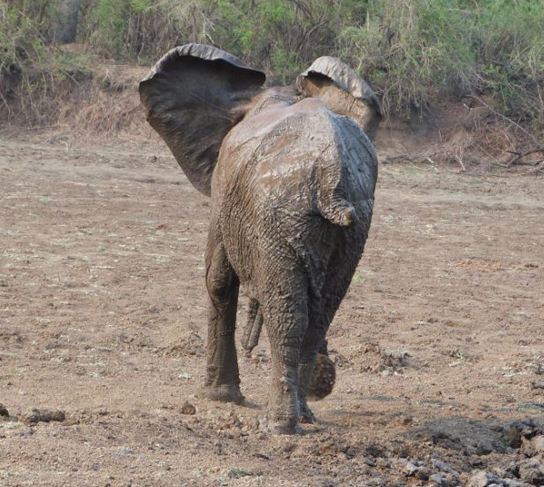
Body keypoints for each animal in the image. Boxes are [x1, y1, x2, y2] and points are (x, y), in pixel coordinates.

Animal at [138, 44, 380, 434]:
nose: (326, 382)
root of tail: (331, 174)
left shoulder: (223, 188)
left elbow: (217, 278)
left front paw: (218, 397)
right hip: (353, 228)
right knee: (321, 312)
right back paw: (303, 415)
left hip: (279, 216)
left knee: (287, 313)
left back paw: (278, 424)